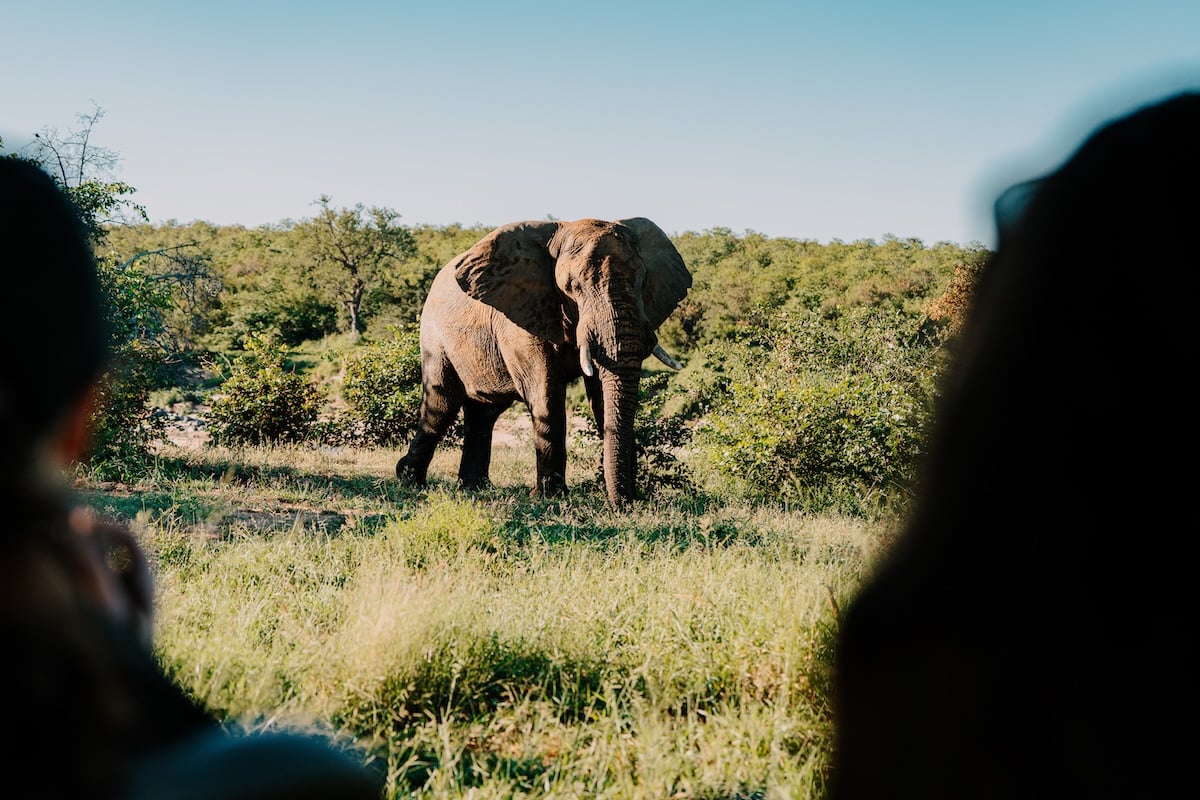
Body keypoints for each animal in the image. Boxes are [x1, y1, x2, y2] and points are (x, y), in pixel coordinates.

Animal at [394, 217, 692, 506]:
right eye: (573, 287)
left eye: (641, 283)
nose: (625, 503)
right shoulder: (522, 318)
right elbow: (546, 395)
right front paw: (551, 496)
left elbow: (601, 398)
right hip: (434, 336)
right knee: (441, 404)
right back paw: (408, 479)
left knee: (483, 412)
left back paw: (472, 486)